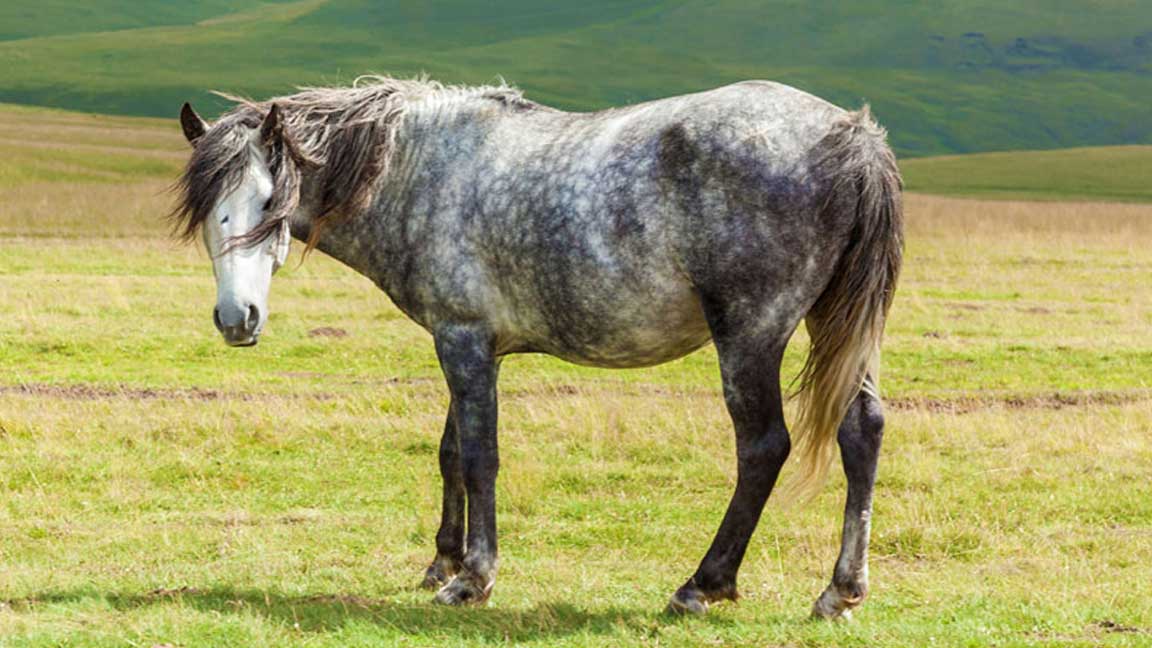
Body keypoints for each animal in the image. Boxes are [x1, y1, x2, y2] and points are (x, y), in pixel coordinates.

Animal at [172, 75, 907, 613]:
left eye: (269, 203)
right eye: (210, 213)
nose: (237, 319)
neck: (417, 171)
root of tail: (851, 135)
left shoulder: (464, 342)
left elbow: (480, 458)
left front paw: (473, 578)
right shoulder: (468, 343)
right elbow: (451, 453)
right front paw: (441, 560)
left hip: (751, 335)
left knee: (763, 447)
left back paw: (702, 585)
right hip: (836, 328)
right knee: (861, 432)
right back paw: (841, 592)